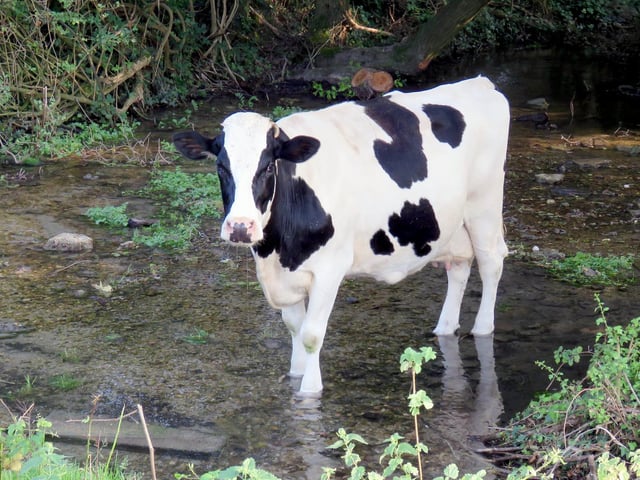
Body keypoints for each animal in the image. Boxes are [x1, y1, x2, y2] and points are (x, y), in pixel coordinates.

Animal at [172, 76, 510, 396]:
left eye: (268, 167)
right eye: (220, 167)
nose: (241, 226)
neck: (278, 247)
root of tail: (480, 83)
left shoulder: (330, 268)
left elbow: (311, 334)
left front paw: (310, 390)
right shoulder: (285, 273)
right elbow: (294, 327)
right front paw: (296, 376)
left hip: (484, 205)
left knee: (491, 262)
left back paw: (483, 328)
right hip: (452, 222)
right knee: (460, 266)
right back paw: (445, 327)